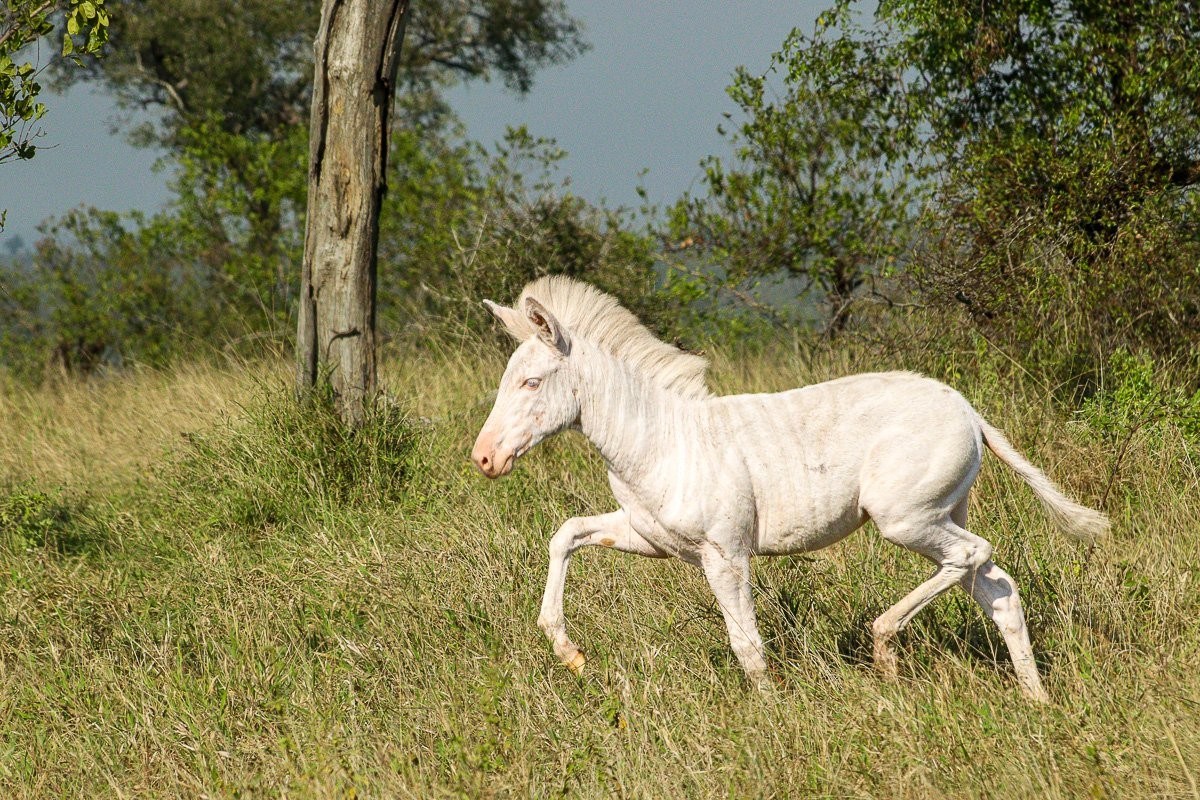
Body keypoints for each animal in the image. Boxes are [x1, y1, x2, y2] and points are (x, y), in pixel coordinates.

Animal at [470, 276, 1108, 702]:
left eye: (531, 382)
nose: (483, 459)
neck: (660, 440)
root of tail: (970, 412)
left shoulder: (726, 552)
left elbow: (747, 645)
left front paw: (772, 712)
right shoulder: (648, 537)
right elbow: (565, 535)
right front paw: (570, 654)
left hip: (905, 518)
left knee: (976, 557)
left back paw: (885, 651)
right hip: (941, 514)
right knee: (999, 590)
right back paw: (1035, 700)